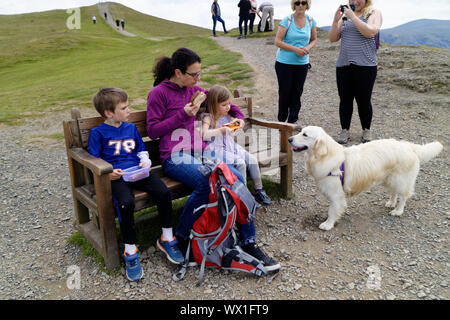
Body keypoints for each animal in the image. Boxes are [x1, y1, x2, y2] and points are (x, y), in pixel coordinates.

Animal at [288, 126, 442, 231]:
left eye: (305, 134)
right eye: (300, 131)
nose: (289, 139)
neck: (323, 156)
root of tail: (409, 145)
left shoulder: (336, 195)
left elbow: (332, 210)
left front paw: (328, 224)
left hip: (400, 179)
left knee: (404, 195)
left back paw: (398, 210)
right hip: (389, 178)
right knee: (394, 192)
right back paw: (391, 203)